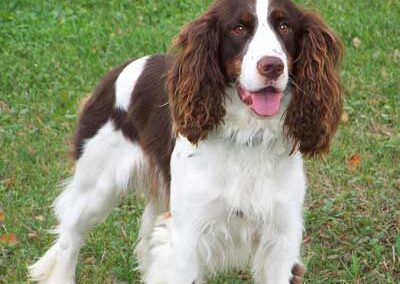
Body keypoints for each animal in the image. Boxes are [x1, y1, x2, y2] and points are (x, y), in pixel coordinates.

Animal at [29, 0, 342, 284]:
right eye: (239, 28)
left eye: (285, 26)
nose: (272, 66)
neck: (247, 136)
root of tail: (118, 71)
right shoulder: (187, 236)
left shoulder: (281, 237)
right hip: (95, 188)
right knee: (70, 234)